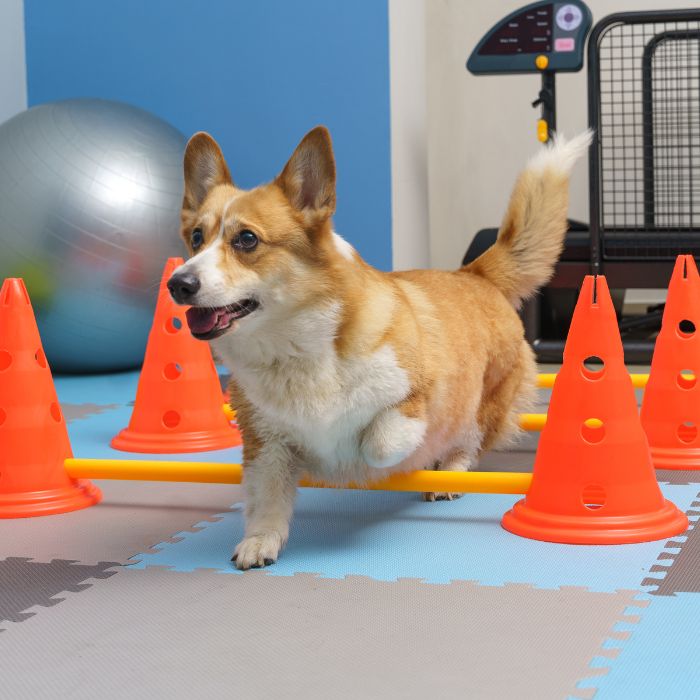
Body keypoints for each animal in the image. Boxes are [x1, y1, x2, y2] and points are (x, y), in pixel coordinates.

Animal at [168, 126, 592, 568]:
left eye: (247, 239)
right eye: (196, 238)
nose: (177, 284)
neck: (296, 348)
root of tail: (475, 273)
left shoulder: (413, 397)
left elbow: (379, 444)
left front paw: (360, 458)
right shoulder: (266, 445)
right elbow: (266, 501)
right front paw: (258, 542)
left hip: (483, 406)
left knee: (467, 442)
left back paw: (446, 472)